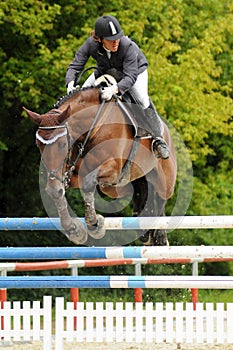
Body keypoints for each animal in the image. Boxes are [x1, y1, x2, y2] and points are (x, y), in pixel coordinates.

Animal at [24, 82, 177, 246]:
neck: (92, 129)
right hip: (115, 187)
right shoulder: (73, 173)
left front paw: (94, 224)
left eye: (62, 144)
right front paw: (73, 230)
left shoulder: (113, 169)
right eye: (38, 145)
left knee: (161, 197)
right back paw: (145, 231)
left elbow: (87, 183)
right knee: (139, 191)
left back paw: (160, 235)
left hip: (164, 179)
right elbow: (59, 193)